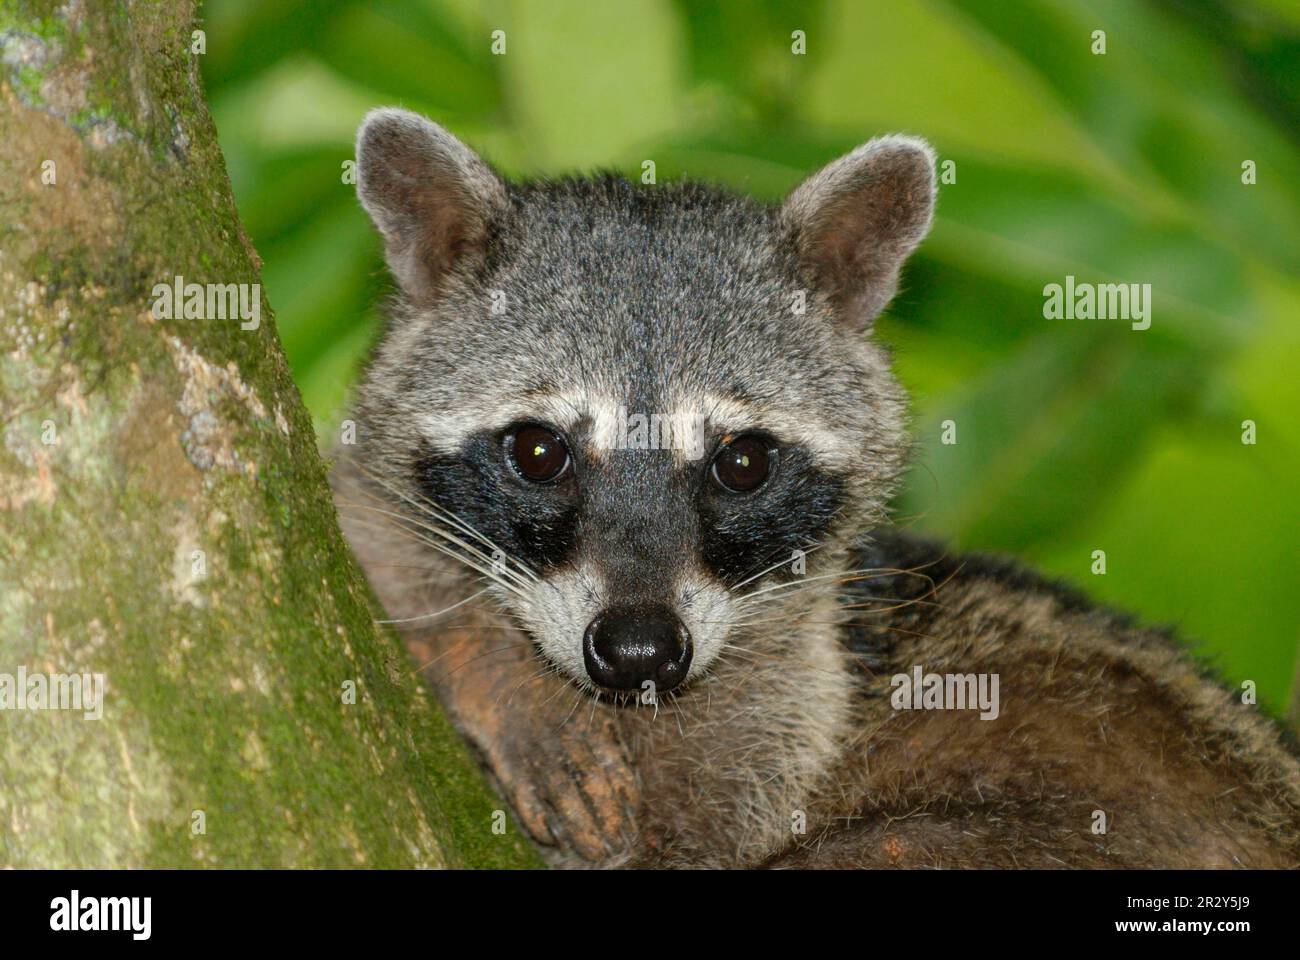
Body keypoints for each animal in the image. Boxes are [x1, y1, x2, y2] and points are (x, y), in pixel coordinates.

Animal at [335, 108, 1300, 863]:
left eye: (743, 463)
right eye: (539, 452)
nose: (640, 652)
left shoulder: (793, 696)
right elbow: (354, 515)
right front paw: (492, 667)